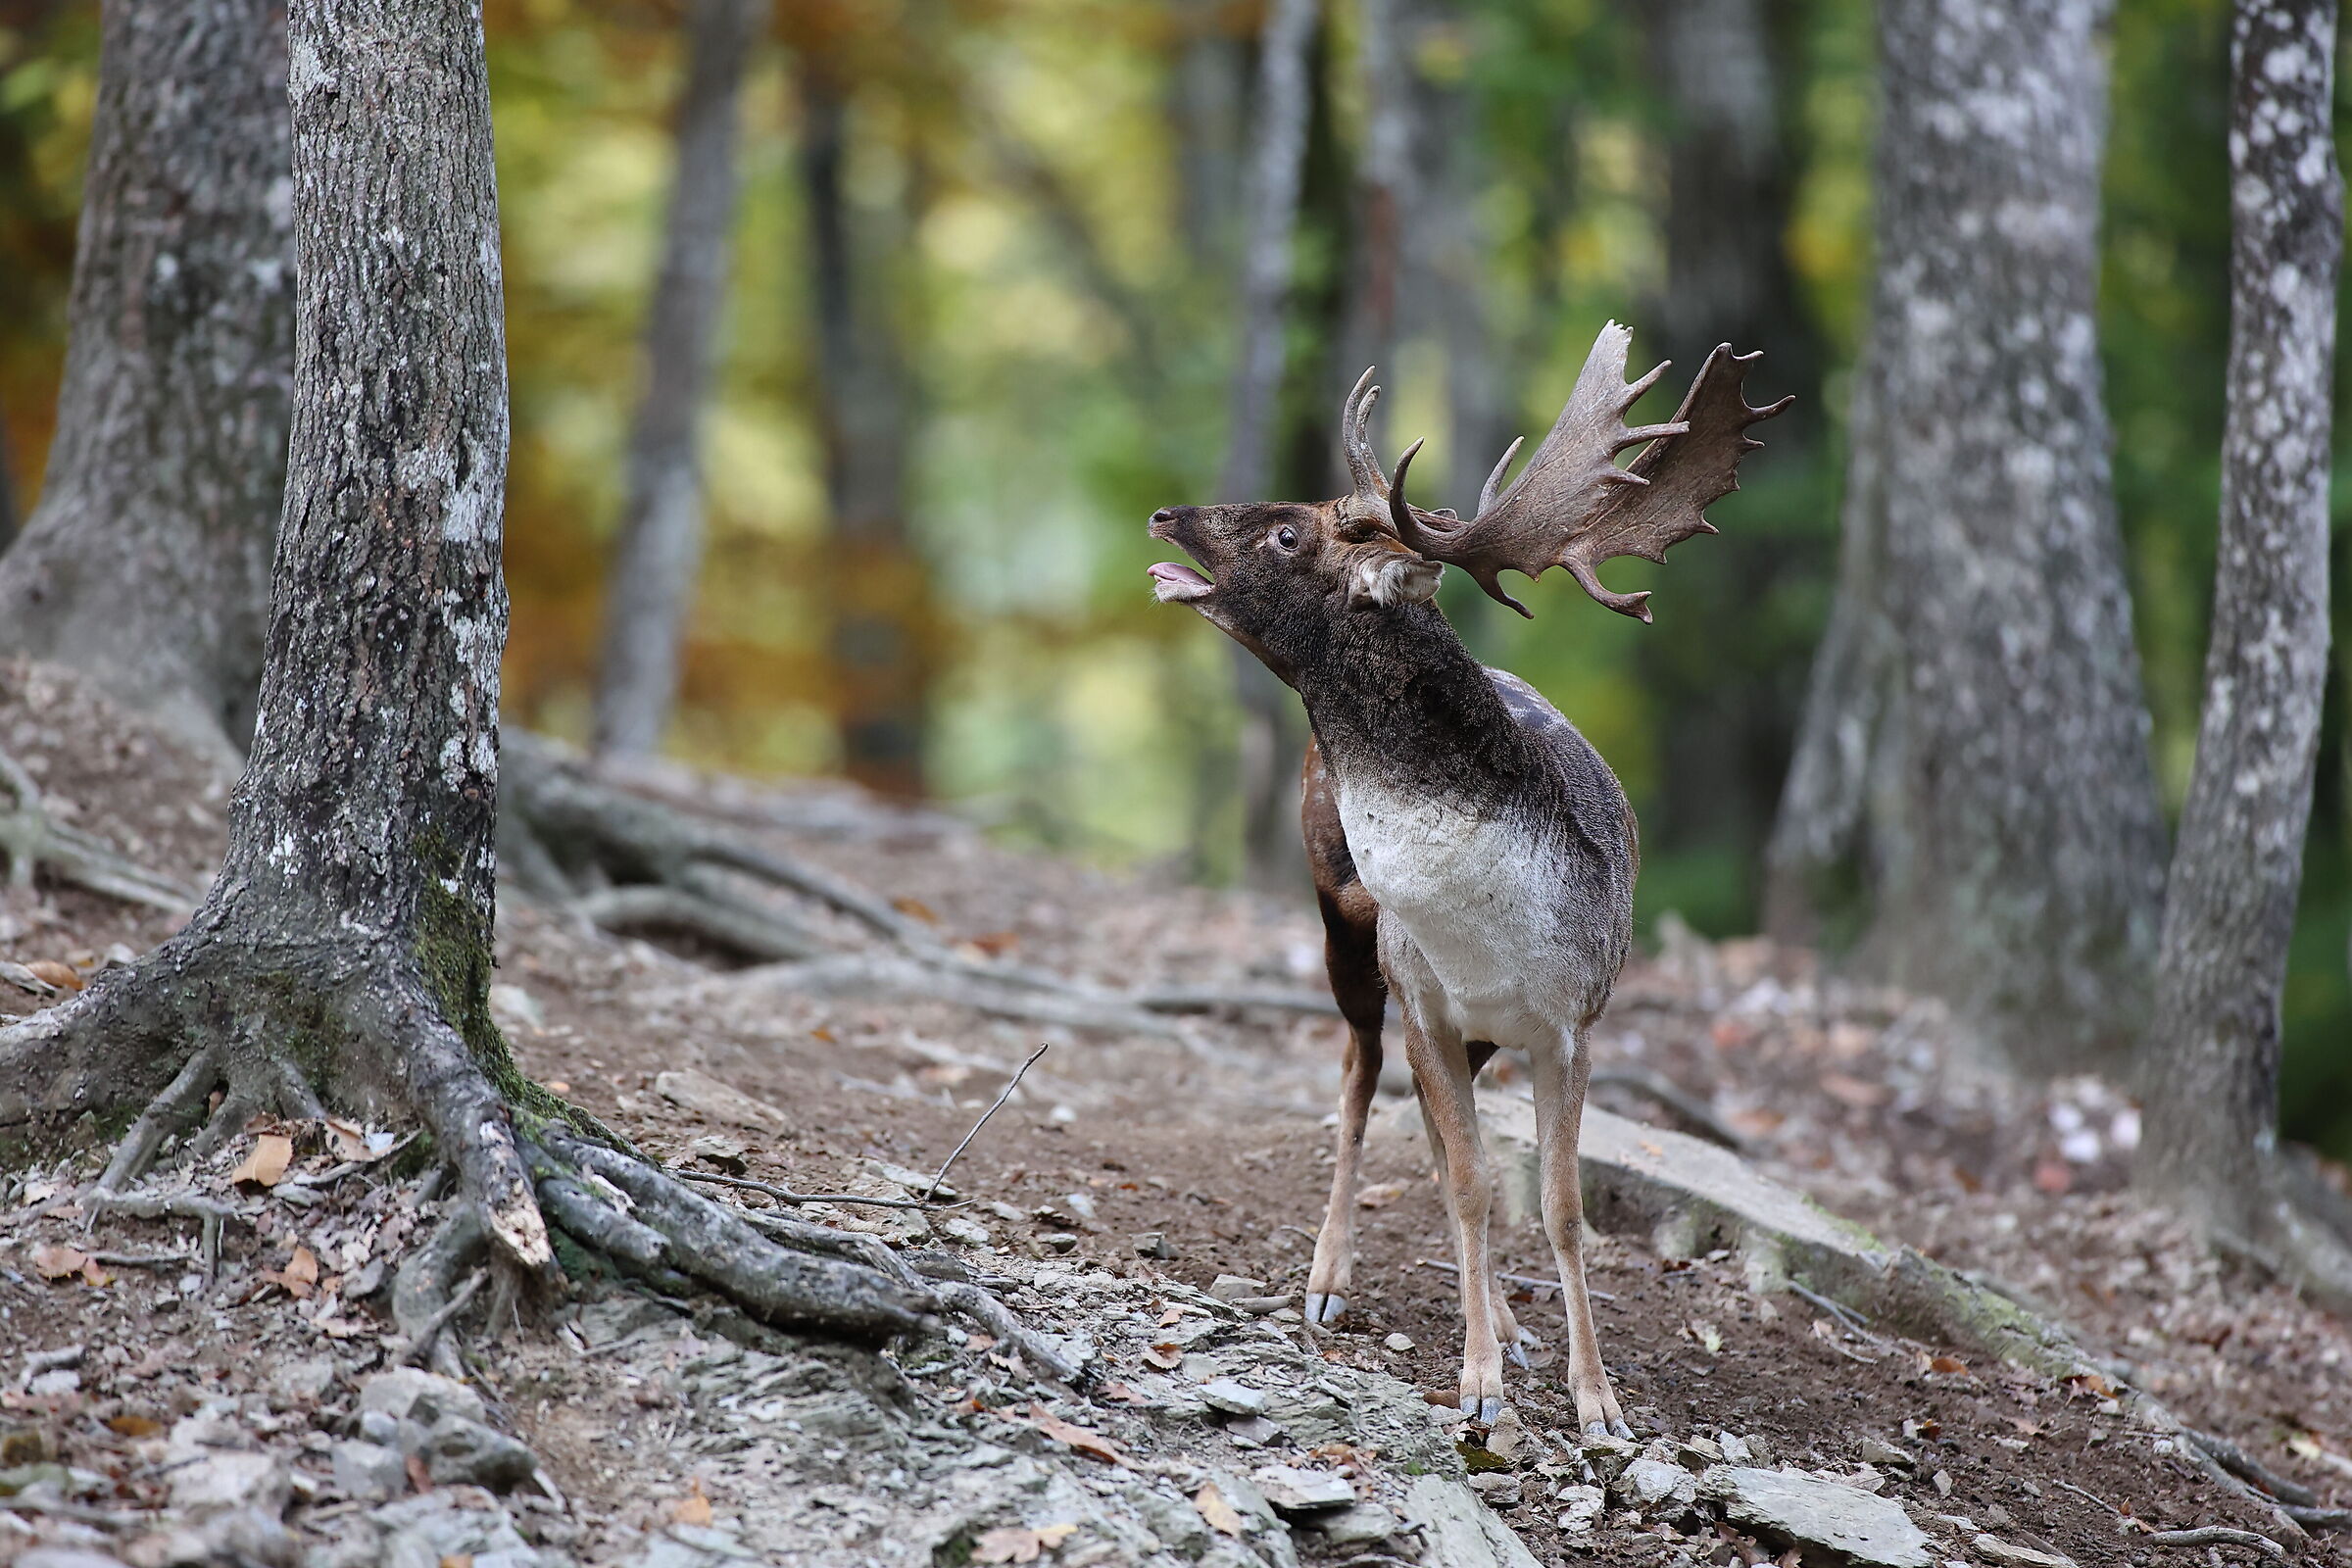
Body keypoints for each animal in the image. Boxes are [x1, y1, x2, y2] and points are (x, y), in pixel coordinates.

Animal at [1147, 323, 1786, 1435]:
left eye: (1288, 535)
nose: (1167, 513)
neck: (1486, 926)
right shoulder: (1426, 998)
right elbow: (1470, 1183)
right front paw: (1480, 1388)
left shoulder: (1572, 1020)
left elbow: (1556, 1205)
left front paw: (1595, 1398)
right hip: (1346, 936)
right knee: (1359, 1079)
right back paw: (1329, 1279)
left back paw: (1509, 1320)